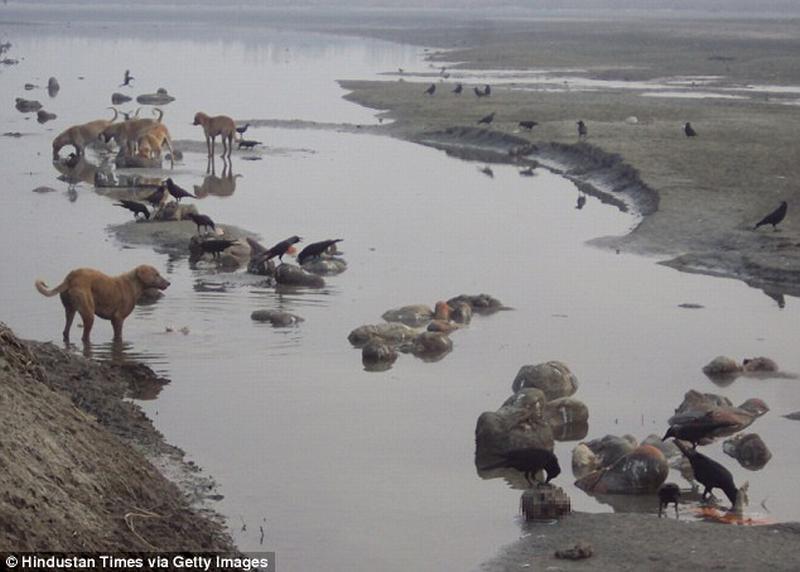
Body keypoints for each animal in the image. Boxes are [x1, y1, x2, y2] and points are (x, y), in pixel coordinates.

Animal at [36, 266, 171, 342]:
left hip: (70, 310)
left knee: (66, 331)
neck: (133, 284)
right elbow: (118, 336)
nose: (169, 283)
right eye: (156, 274)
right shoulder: (118, 318)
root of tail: (70, 277)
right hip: (88, 313)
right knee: (84, 336)